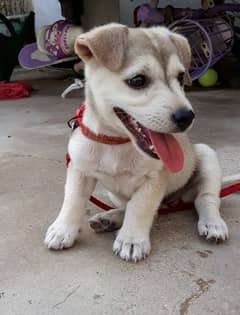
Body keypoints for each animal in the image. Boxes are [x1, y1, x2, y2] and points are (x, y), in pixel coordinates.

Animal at [45, 23, 231, 262]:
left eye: (181, 77)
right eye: (138, 81)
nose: (187, 117)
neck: (116, 142)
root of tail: (175, 201)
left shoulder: (154, 179)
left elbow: (140, 207)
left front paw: (132, 239)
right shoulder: (79, 169)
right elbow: (73, 200)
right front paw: (63, 229)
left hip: (206, 155)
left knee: (205, 199)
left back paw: (213, 223)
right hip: (114, 195)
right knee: (137, 208)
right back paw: (109, 218)